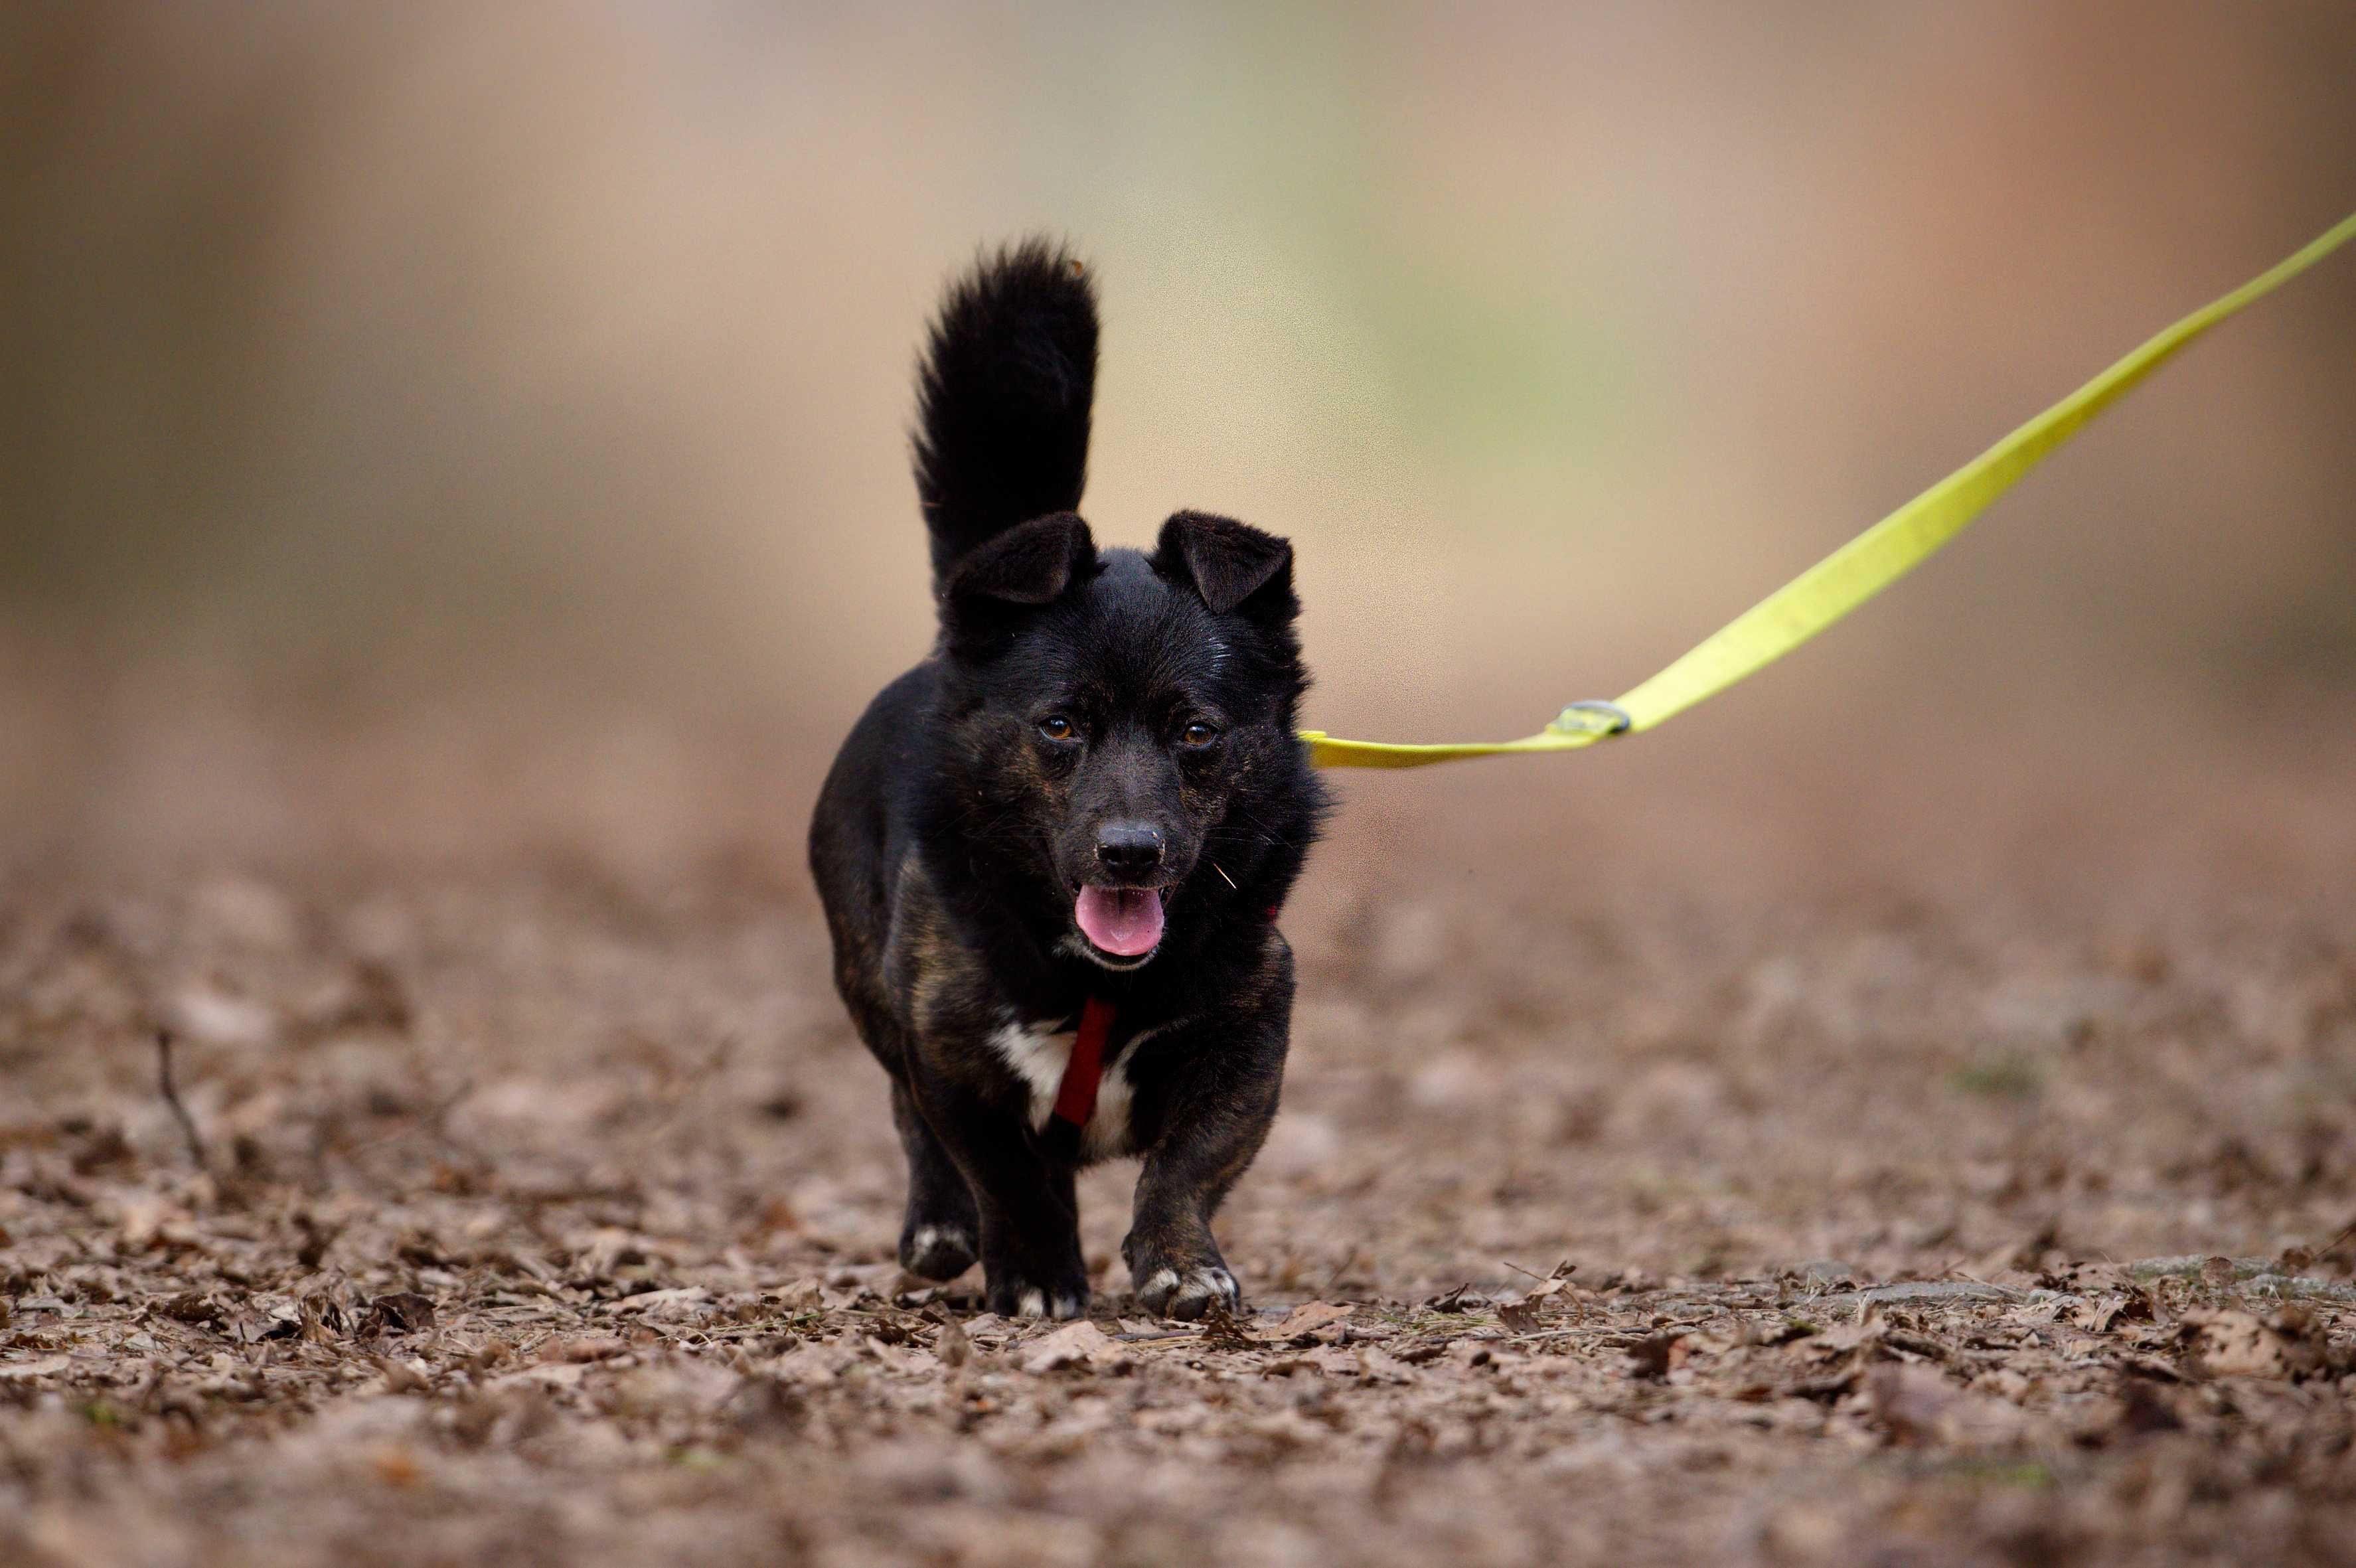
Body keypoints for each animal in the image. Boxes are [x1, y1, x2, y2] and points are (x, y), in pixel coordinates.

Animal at [805, 241, 1328, 1318]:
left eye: (1196, 731)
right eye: (1059, 725)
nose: (1129, 854)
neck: (1094, 982)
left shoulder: (1249, 1032)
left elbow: (1187, 1163)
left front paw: (1179, 1259)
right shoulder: (947, 1043)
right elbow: (998, 1169)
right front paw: (1039, 1273)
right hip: (868, 984)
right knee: (908, 1115)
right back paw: (941, 1225)